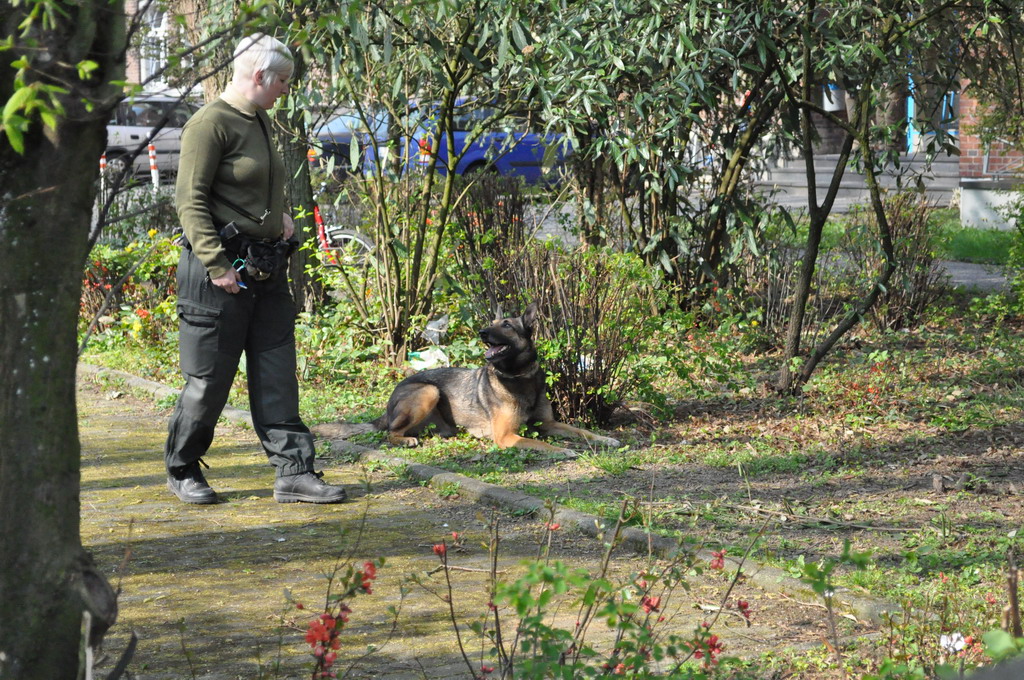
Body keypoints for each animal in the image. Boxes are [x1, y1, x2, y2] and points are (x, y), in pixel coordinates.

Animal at [368, 303, 618, 454]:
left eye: (507, 325)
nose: (482, 332)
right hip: (429, 391)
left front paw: (606, 439)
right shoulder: (507, 436)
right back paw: (404, 440)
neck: (518, 376)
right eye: (491, 324)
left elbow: (581, 431)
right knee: (390, 432)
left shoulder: (548, 424)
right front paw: (564, 450)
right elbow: (540, 443)